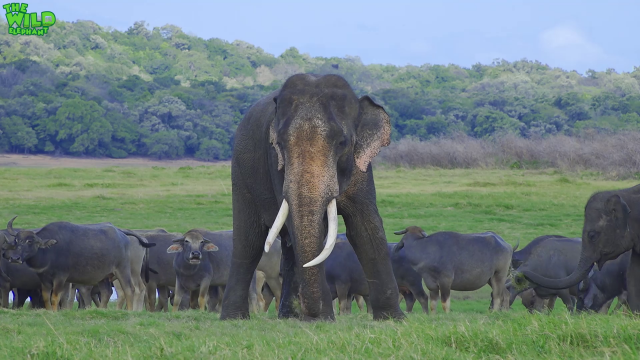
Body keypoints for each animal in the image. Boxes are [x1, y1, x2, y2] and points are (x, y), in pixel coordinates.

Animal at [2, 218, 154, 310]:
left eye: (30, 241)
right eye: (16, 240)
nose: (14, 258)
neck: (50, 251)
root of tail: (122, 234)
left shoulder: (61, 278)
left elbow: (56, 296)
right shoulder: (44, 279)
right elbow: (46, 297)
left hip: (123, 270)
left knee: (130, 289)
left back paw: (131, 310)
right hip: (104, 276)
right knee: (107, 292)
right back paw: (102, 310)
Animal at [218, 73, 402, 320]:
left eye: (342, 143)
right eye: (279, 144)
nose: (314, 314)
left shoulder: (361, 167)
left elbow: (365, 227)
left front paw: (393, 318)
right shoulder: (276, 164)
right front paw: (322, 318)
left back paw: (289, 316)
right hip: (240, 172)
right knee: (249, 240)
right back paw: (234, 317)